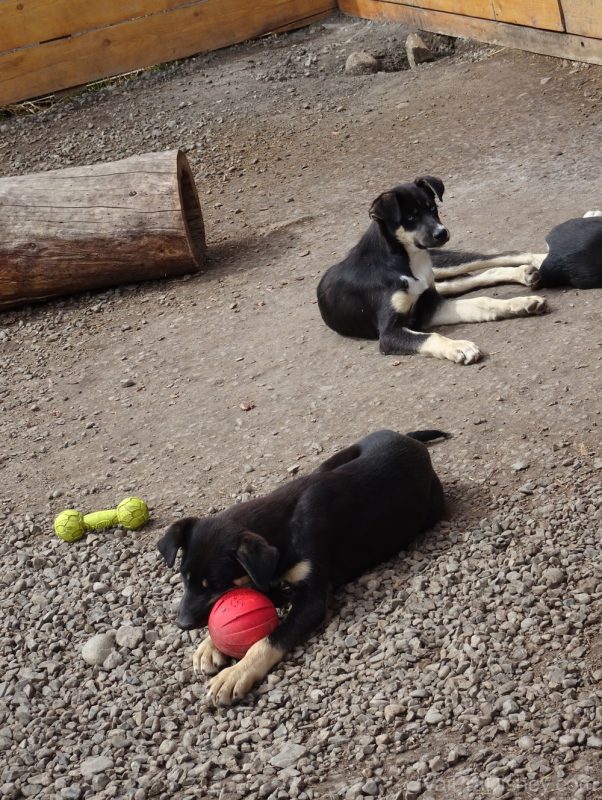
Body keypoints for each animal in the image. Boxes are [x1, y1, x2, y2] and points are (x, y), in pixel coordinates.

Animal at [157, 428, 442, 704]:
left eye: (215, 584)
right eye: (184, 579)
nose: (181, 624)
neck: (283, 529)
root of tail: (406, 438)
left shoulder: (312, 601)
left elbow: (269, 639)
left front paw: (236, 673)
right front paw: (209, 646)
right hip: (332, 460)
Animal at [316, 176, 548, 366]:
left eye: (433, 208)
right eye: (411, 217)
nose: (442, 233)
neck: (406, 262)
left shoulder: (428, 308)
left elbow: (482, 301)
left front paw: (521, 302)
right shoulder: (393, 332)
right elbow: (434, 334)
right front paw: (459, 346)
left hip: (442, 265)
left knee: (495, 258)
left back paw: (538, 260)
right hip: (438, 278)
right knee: (464, 281)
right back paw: (525, 275)